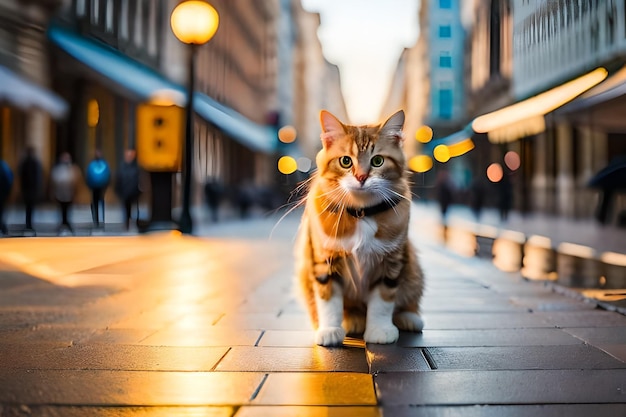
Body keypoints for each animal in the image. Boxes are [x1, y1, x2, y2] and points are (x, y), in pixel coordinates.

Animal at [294, 109, 424, 346]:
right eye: (346, 161)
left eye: (378, 161)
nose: (361, 177)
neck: (361, 212)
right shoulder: (324, 260)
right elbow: (329, 299)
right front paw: (330, 330)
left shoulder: (391, 262)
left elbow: (383, 301)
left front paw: (380, 330)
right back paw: (352, 320)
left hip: (412, 268)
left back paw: (408, 317)